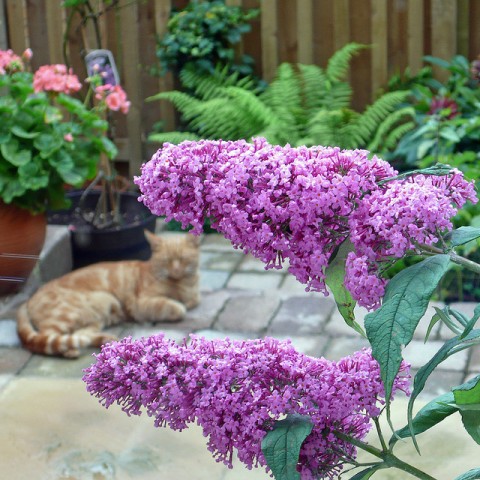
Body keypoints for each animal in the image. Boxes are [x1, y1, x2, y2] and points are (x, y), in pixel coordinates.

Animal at [15, 231, 199, 358]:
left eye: (183, 259)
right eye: (166, 261)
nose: (176, 270)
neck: (182, 283)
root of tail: (28, 300)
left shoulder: (193, 296)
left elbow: (193, 301)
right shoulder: (141, 304)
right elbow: (177, 307)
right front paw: (178, 304)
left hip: (95, 316)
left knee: (78, 335)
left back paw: (107, 341)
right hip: (70, 313)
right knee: (45, 338)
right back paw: (70, 350)